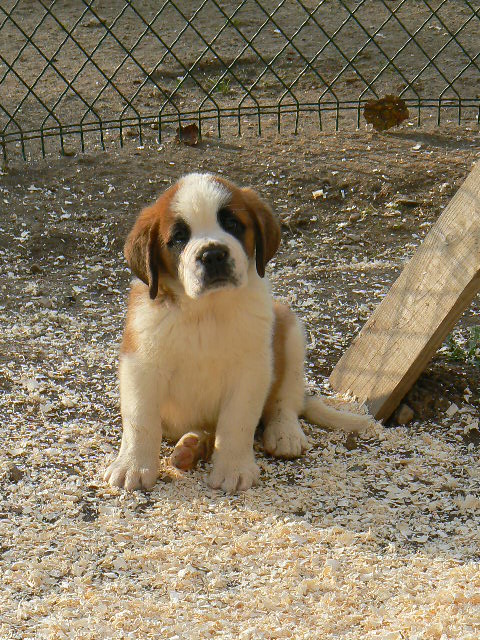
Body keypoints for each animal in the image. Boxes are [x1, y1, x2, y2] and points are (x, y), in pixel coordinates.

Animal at [103, 172, 370, 492]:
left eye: (232, 224)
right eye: (179, 238)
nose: (213, 254)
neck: (205, 311)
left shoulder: (251, 371)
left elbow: (237, 423)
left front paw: (234, 469)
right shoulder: (141, 364)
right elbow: (140, 420)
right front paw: (131, 466)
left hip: (290, 329)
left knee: (287, 400)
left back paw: (284, 433)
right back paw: (189, 447)